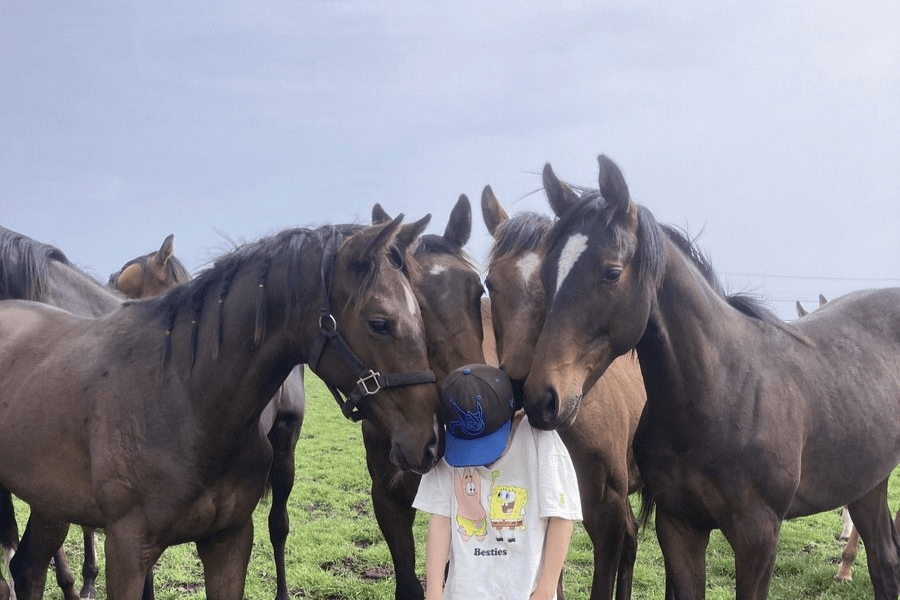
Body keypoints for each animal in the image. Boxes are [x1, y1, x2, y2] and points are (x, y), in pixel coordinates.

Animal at [0, 217, 442, 600]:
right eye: (380, 323)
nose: (430, 443)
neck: (187, 400)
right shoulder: (127, 549)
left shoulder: (228, 541)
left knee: (27, 568)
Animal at [523, 153, 900, 600]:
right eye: (547, 274)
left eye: (611, 272)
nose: (542, 398)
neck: (719, 394)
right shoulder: (679, 527)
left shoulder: (758, 537)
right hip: (867, 483)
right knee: (884, 561)